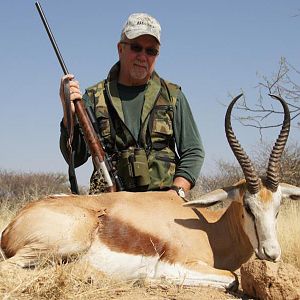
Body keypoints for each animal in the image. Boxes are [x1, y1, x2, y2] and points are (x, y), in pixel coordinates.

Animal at [0, 94, 300, 288]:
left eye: (278, 207)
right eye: (248, 207)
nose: (271, 253)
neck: (210, 231)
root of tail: (12, 225)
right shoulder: (179, 264)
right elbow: (232, 279)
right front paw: (151, 281)